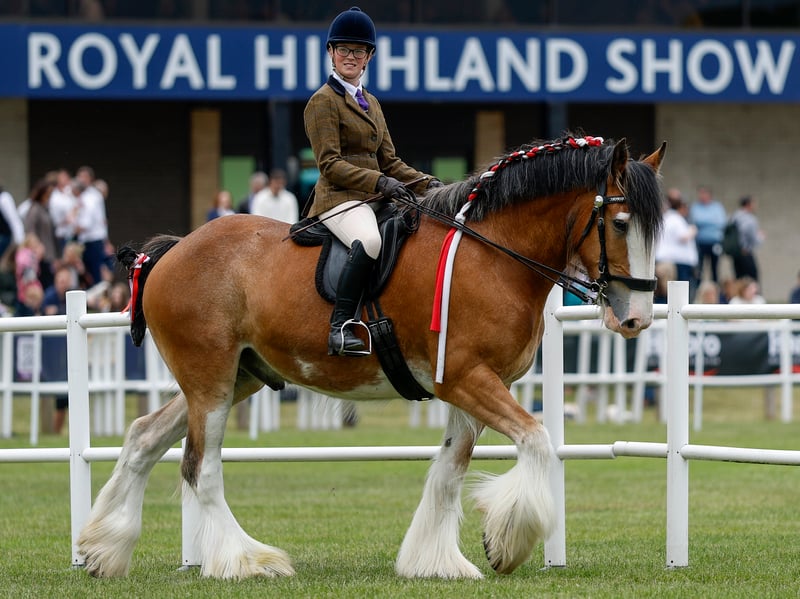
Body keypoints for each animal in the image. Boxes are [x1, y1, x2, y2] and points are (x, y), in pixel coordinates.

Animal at [77, 134, 665, 580]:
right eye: (619, 224)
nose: (635, 319)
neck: (490, 255)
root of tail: (172, 250)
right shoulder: (468, 380)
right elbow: (537, 441)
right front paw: (506, 544)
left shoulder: (468, 388)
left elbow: (448, 471)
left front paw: (435, 562)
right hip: (211, 383)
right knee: (201, 468)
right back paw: (244, 560)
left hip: (232, 378)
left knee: (144, 437)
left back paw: (103, 549)